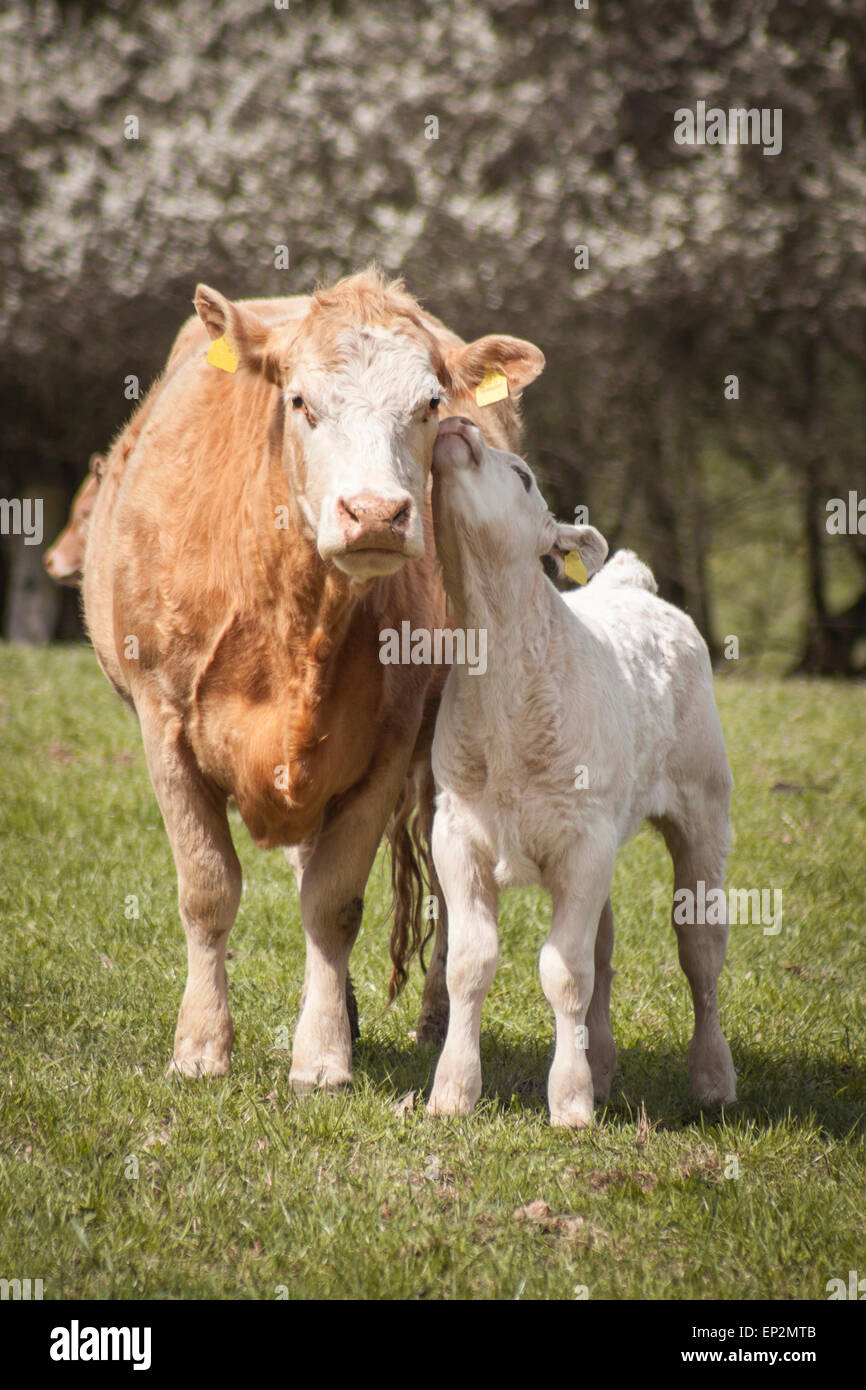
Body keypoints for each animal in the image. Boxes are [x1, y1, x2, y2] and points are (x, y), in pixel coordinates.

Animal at [81, 268, 542, 1084]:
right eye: (300, 401)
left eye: (430, 404)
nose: (376, 513)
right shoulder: (162, 722)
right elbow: (207, 889)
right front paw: (201, 1045)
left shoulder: (390, 746)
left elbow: (334, 902)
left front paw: (322, 1053)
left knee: (444, 886)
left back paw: (435, 1016)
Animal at [422, 417, 733, 1123]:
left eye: (522, 475)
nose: (456, 423)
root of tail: (630, 587)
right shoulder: (456, 834)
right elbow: (470, 964)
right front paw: (453, 1089)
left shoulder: (583, 842)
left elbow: (563, 970)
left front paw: (568, 1101)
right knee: (606, 948)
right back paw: (605, 1066)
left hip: (704, 810)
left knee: (700, 951)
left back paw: (714, 1077)